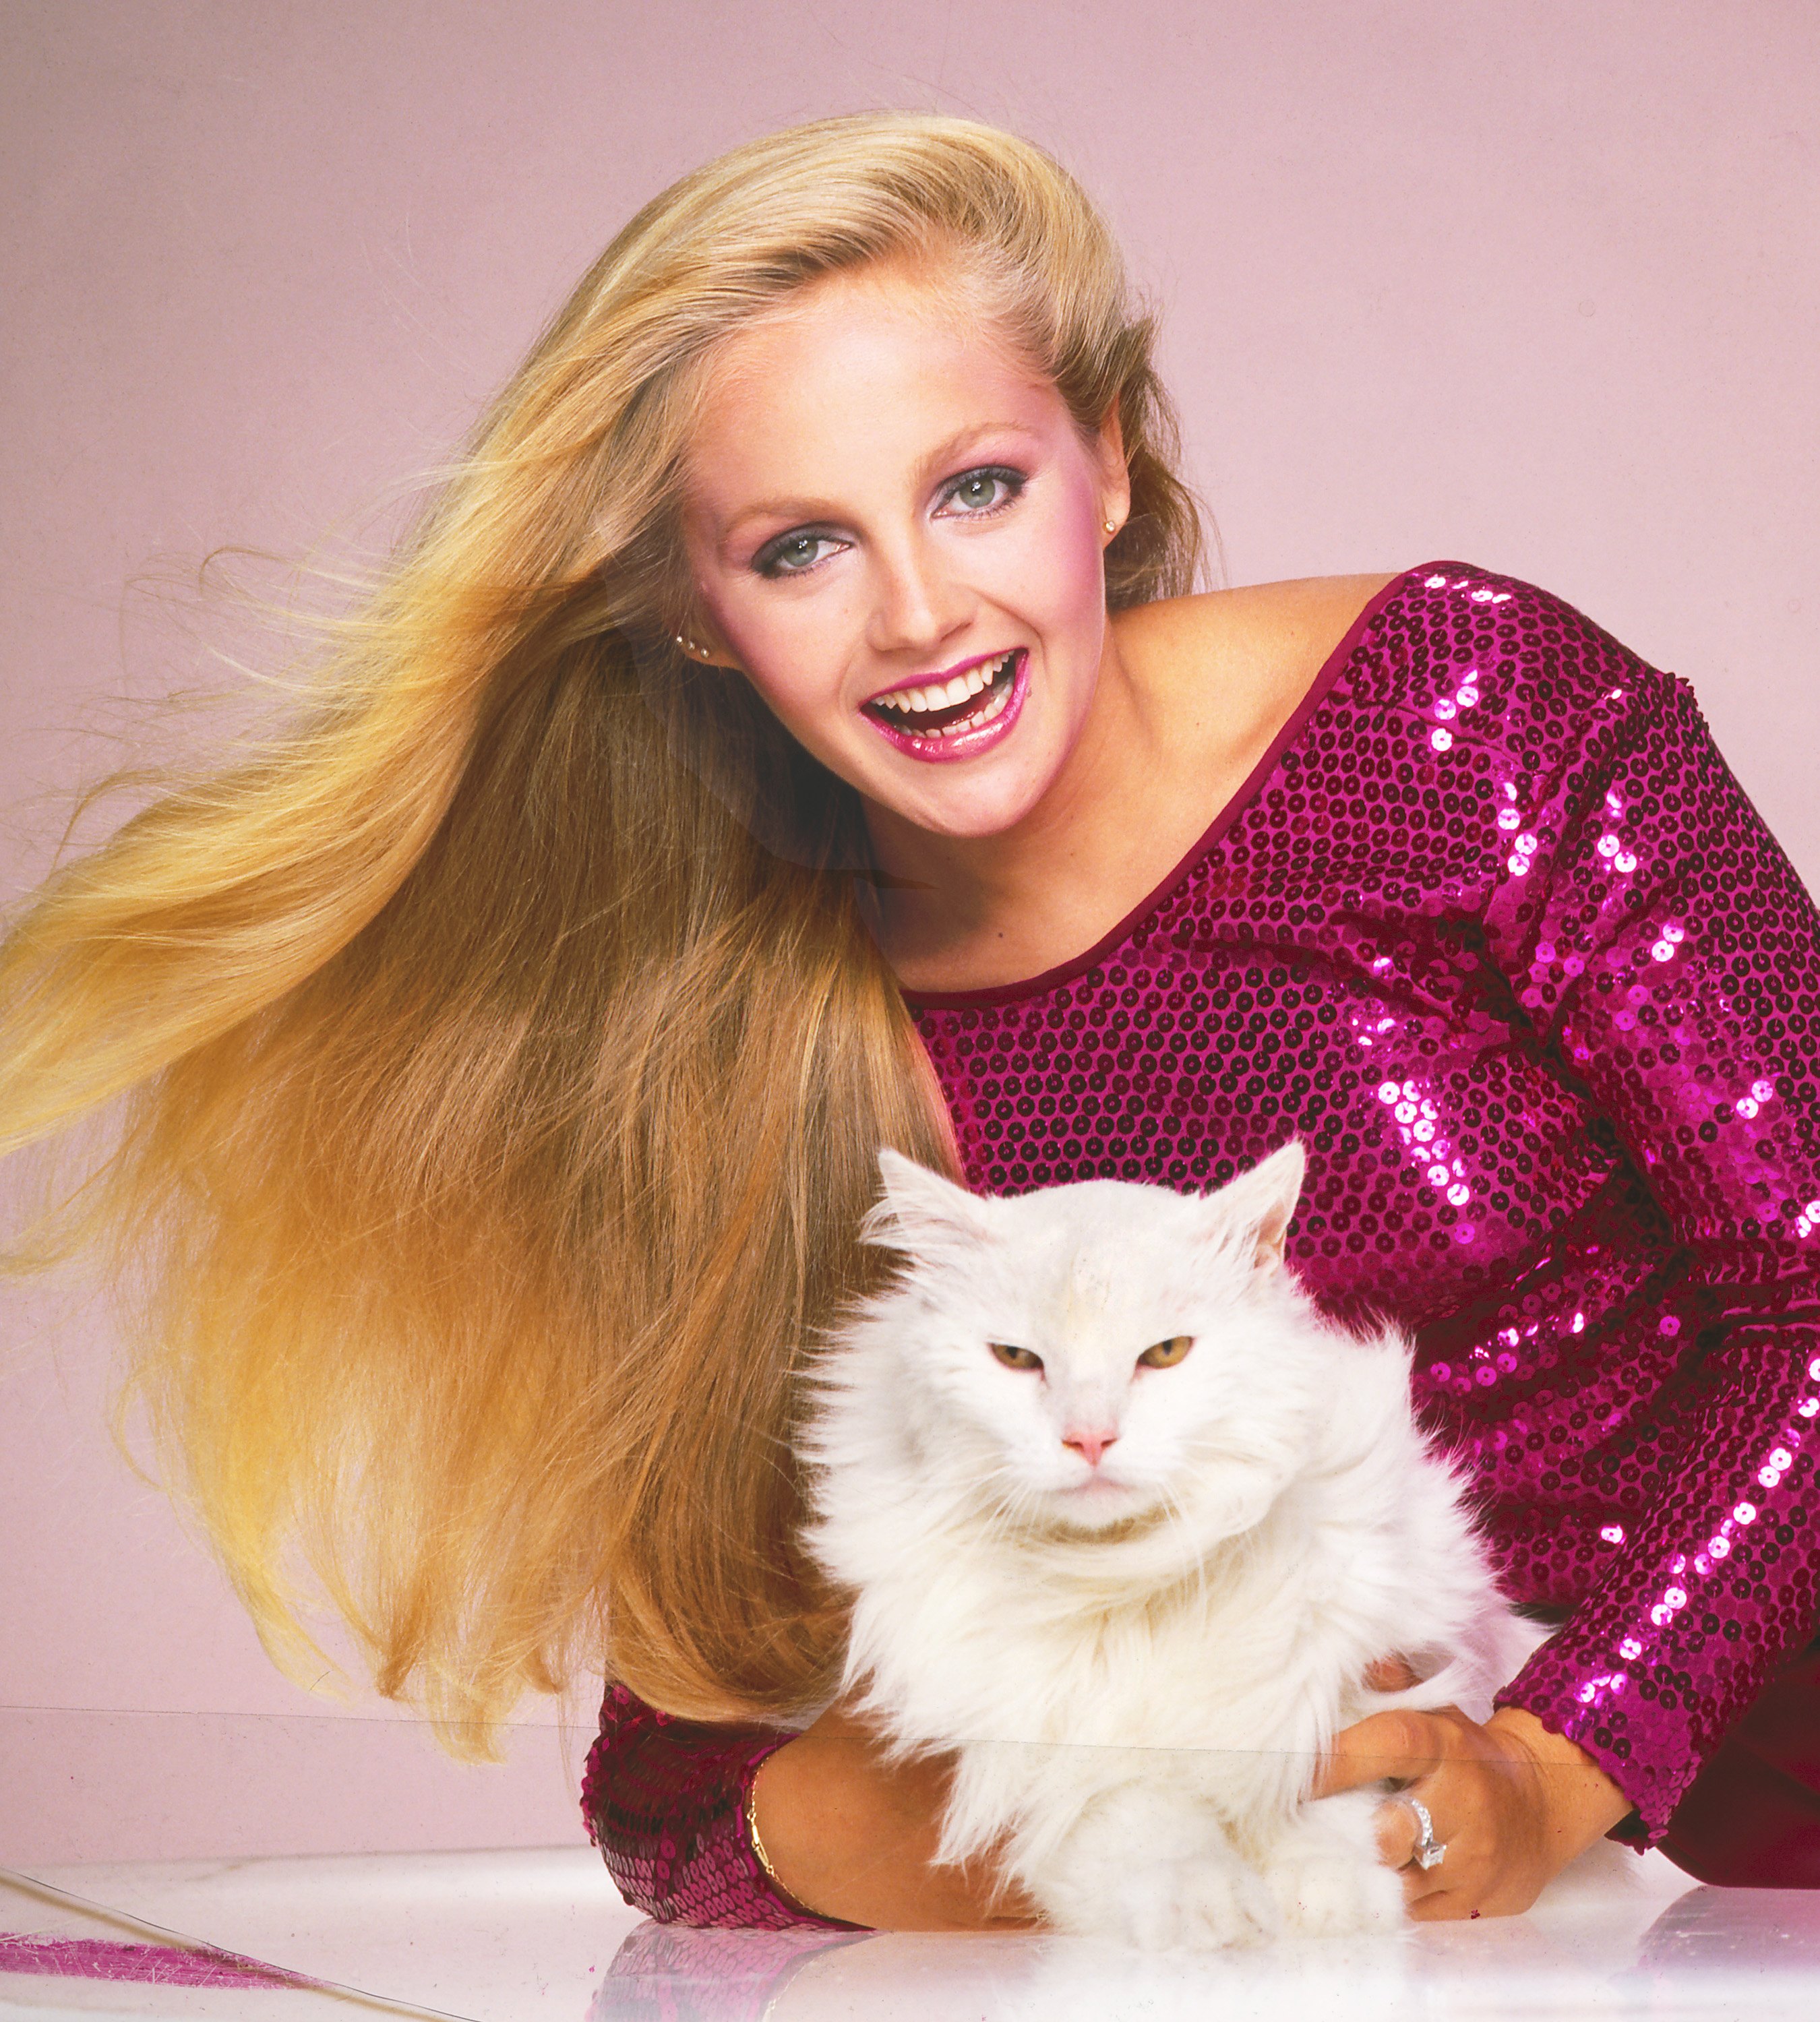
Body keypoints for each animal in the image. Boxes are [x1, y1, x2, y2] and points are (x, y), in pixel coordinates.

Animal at [805, 1140, 1545, 1941]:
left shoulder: (1332, 1686)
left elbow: (1319, 1799)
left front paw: (1327, 1898)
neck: (1124, 1581)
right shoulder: (1058, 1749)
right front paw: (1208, 1908)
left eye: (1164, 1354)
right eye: (1016, 1358)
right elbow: (1147, 1817)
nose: (1089, 1438)